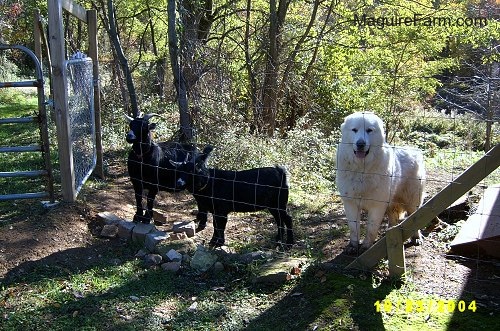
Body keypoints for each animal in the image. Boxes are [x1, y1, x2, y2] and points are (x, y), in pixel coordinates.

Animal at [338, 111, 424, 254]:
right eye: (354, 130)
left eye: (369, 130)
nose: (360, 144)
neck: (362, 170)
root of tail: (414, 151)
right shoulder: (350, 203)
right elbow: (353, 228)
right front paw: (353, 246)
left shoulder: (377, 205)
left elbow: (371, 228)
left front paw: (366, 247)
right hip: (391, 203)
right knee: (393, 219)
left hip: (412, 201)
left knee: (414, 218)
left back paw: (416, 237)